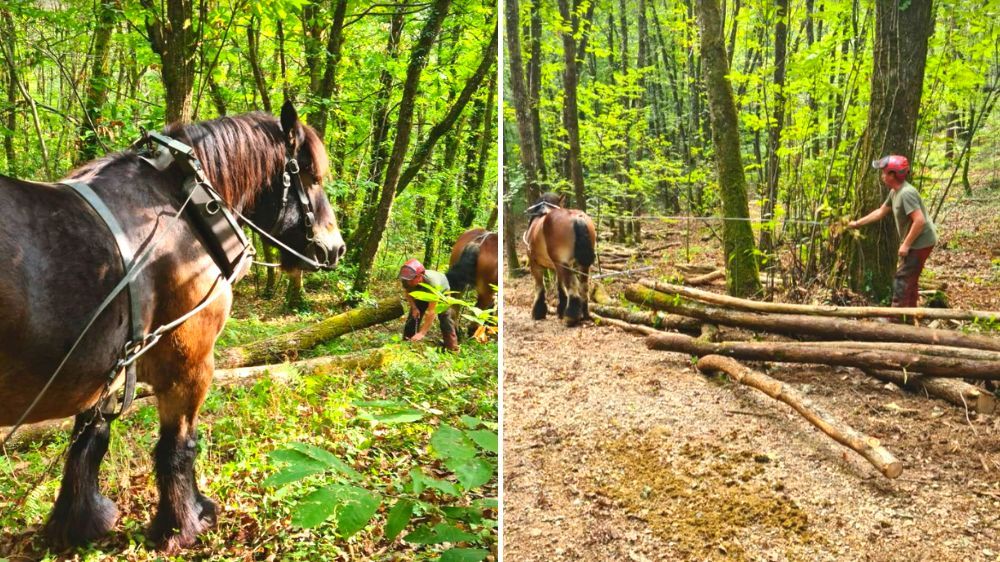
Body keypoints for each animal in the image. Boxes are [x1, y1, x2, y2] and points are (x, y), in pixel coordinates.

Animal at [0, 103, 344, 548]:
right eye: (312, 177)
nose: (336, 248)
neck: (183, 209)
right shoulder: (190, 366)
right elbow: (179, 447)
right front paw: (186, 521)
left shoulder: (105, 368)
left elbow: (88, 443)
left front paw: (81, 521)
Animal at [524, 192, 592, 326]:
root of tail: (577, 218)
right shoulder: (556, 266)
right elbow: (560, 286)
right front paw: (561, 309)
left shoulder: (535, 264)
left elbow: (540, 286)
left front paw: (538, 312)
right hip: (580, 265)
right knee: (583, 285)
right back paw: (584, 314)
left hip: (563, 263)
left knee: (572, 285)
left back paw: (571, 317)